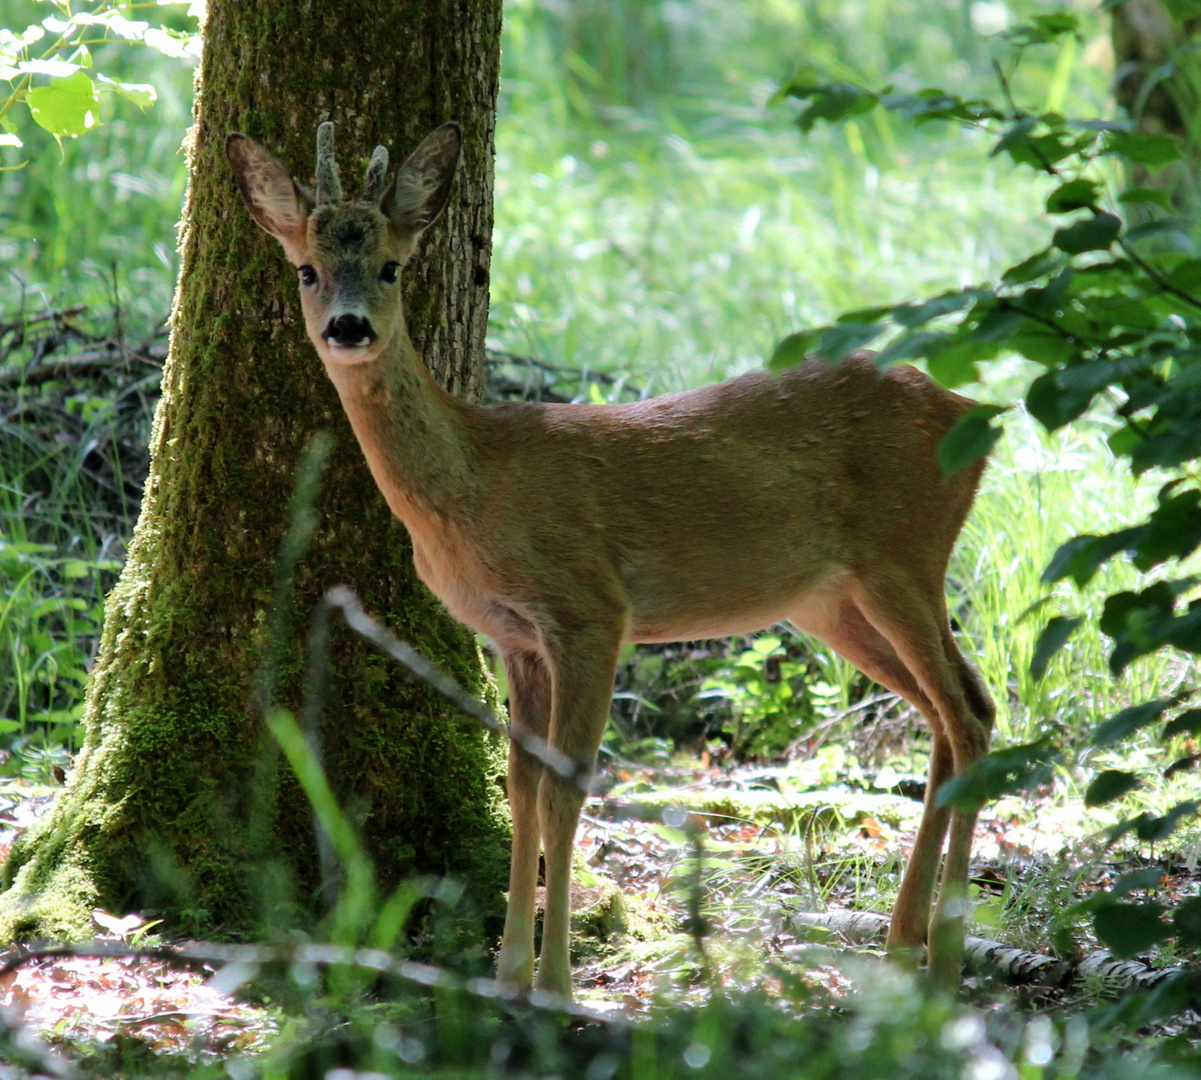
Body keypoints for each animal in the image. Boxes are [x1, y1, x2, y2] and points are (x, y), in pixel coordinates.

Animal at [225, 118, 994, 994]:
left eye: (390, 265)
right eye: (308, 269)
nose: (348, 327)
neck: (473, 484)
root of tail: (973, 414)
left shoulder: (588, 608)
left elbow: (565, 790)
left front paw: (555, 982)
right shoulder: (515, 637)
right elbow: (521, 788)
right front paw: (508, 973)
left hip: (903, 554)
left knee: (968, 713)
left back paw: (945, 957)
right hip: (830, 599)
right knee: (950, 710)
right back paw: (902, 943)